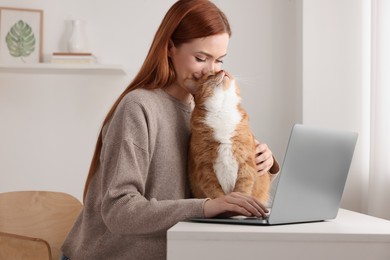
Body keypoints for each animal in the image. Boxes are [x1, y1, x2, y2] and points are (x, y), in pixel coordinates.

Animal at [187, 70, 270, 203]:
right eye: (210, 75)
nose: (224, 71)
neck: (222, 110)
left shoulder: (246, 162)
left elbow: (242, 189)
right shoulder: (204, 167)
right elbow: (216, 194)